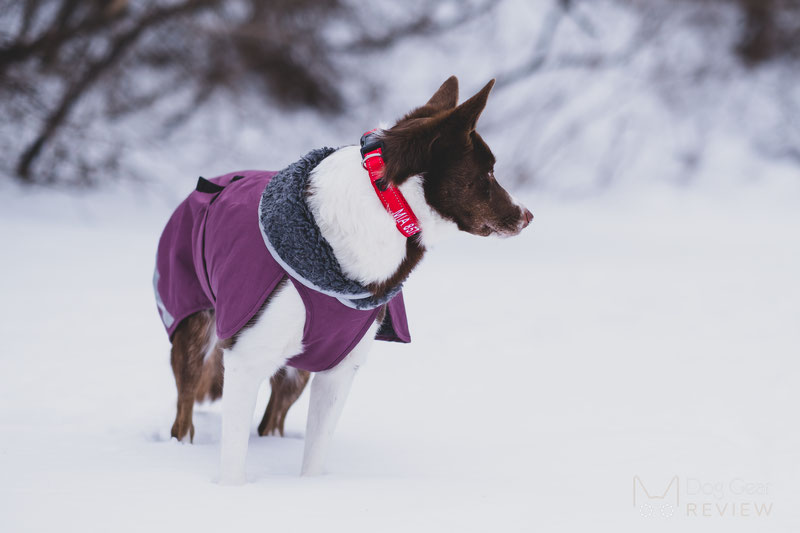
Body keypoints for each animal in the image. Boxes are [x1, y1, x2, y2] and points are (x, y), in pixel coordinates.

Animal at [166, 77, 536, 484]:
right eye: (489, 173)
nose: (529, 215)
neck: (387, 208)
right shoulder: (246, 357)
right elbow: (233, 461)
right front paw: (231, 490)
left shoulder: (340, 367)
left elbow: (314, 456)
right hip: (193, 325)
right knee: (185, 409)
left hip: (297, 369)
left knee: (273, 416)